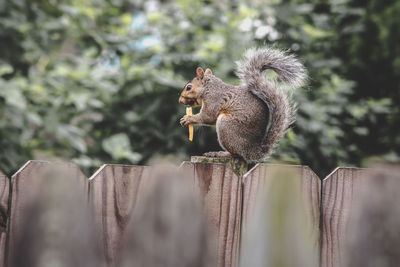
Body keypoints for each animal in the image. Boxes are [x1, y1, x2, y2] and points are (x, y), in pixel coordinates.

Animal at [178, 46, 306, 161]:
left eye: (189, 87)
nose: (180, 100)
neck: (209, 88)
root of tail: (253, 151)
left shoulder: (213, 99)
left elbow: (207, 117)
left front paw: (188, 119)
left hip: (226, 126)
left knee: (236, 154)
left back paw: (220, 153)